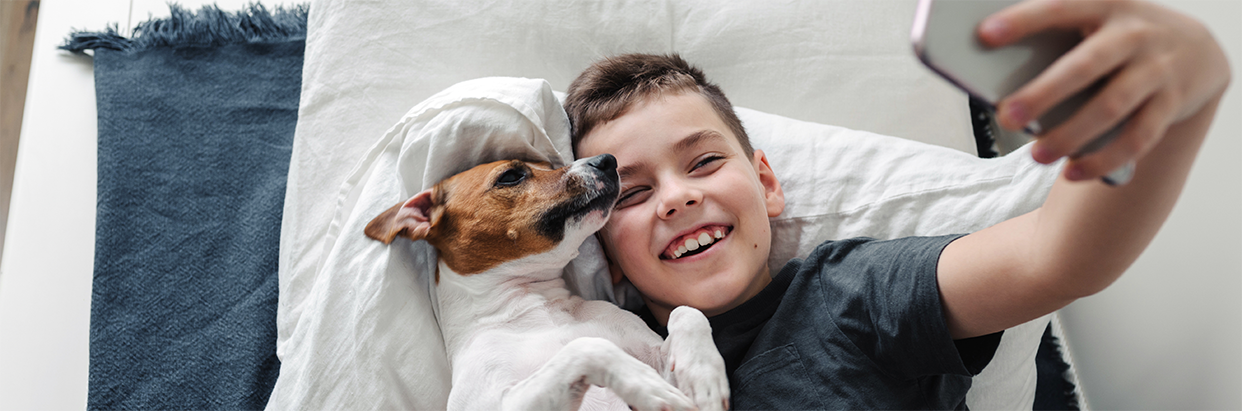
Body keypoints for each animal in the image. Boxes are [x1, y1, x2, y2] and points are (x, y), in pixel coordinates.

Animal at [362, 154, 725, 411]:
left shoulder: (660, 360)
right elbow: (587, 348)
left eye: (550, 166)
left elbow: (687, 312)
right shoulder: (498, 402)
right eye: (511, 176)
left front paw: (704, 374)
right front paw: (646, 385)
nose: (608, 160)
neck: (536, 306)